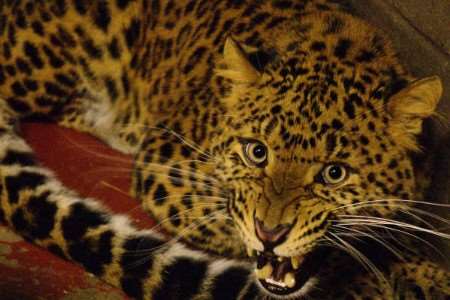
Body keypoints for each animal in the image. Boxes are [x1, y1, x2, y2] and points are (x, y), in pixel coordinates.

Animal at [0, 0, 450, 298]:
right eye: (257, 152)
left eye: (334, 173)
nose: (270, 234)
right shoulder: (166, 166)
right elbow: (230, 221)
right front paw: (362, 277)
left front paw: (423, 272)